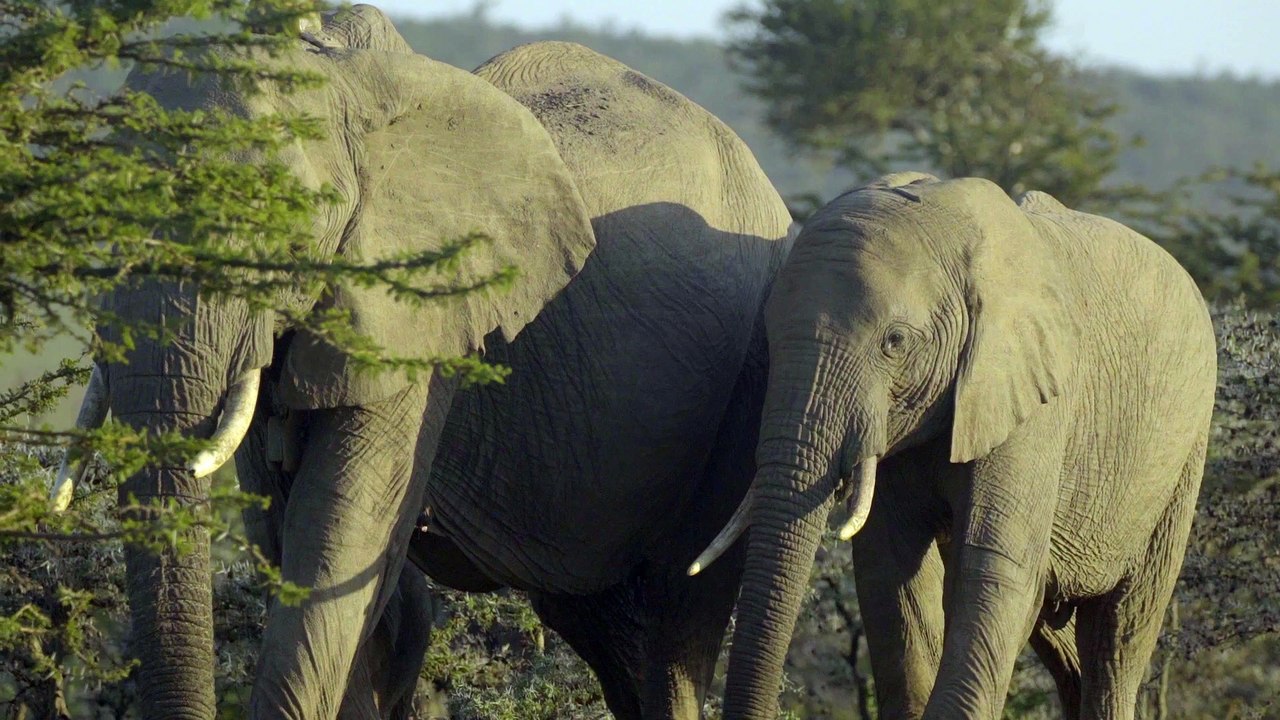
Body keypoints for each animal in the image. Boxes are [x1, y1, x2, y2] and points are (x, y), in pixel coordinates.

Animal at [53, 5, 792, 720]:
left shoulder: (423, 314)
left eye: (282, 227)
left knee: (673, 629)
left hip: (743, 394)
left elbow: (340, 536)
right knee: (608, 632)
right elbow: (300, 547)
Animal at [691, 172, 1216, 719]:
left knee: (1117, 639)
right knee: (1060, 636)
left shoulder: (1034, 405)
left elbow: (993, 570)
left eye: (895, 342)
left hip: (1183, 461)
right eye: (768, 338)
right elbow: (891, 577)